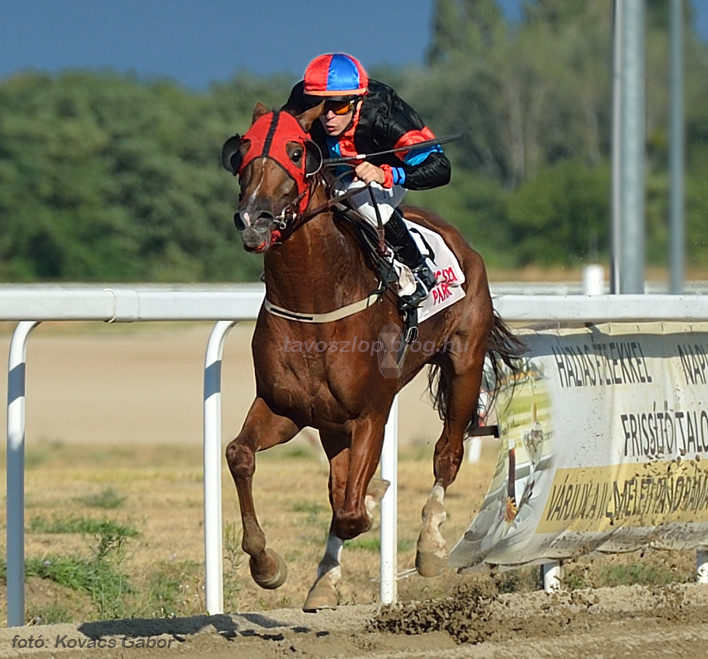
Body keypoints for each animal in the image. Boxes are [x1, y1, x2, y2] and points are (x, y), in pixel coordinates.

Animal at [221, 103, 524, 612]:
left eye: (297, 150)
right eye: (241, 149)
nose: (254, 218)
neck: (314, 301)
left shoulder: (370, 413)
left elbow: (350, 511)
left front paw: (375, 497)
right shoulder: (286, 408)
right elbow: (240, 455)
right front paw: (266, 565)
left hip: (463, 364)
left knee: (447, 456)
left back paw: (429, 546)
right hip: (329, 422)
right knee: (335, 482)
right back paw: (324, 581)